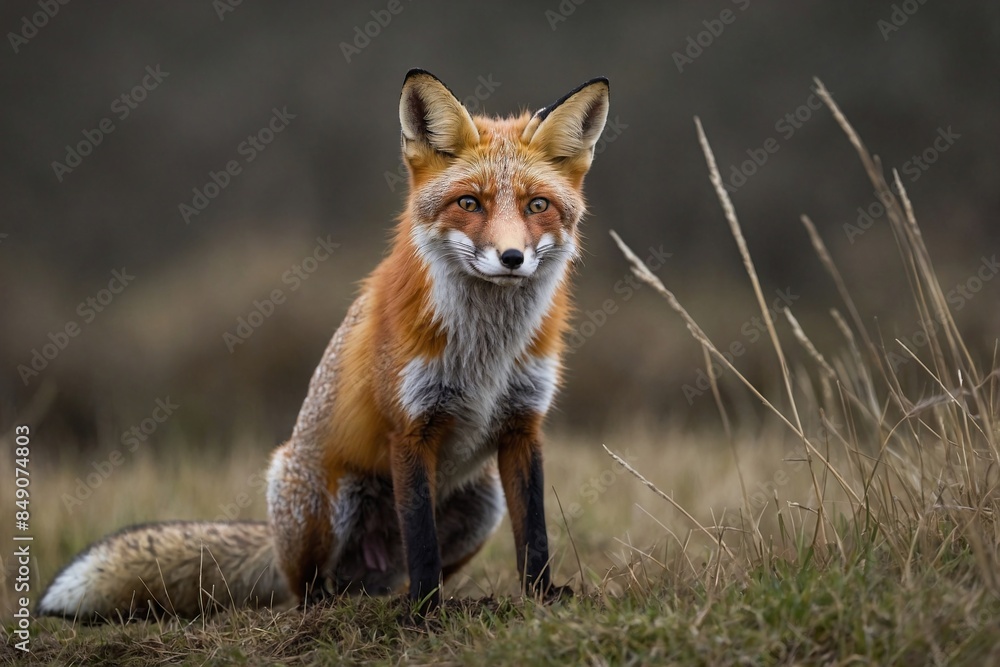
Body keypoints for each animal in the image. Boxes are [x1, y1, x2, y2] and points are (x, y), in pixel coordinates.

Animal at [38, 69, 610, 621]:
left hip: (480, 502)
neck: (486, 352)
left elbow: (534, 534)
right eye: (469, 202)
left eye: (537, 205)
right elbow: (421, 540)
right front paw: (425, 613)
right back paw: (335, 608)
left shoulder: (522, 425)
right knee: (309, 588)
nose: (512, 258)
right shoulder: (410, 428)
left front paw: (540, 598)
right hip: (323, 501)